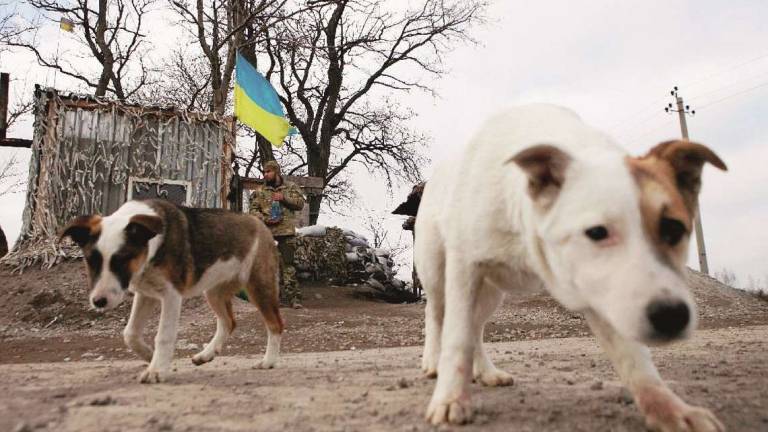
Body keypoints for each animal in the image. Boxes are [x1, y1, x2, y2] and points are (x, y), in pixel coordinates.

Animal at [60, 198, 282, 382]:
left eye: (122, 259)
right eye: (91, 260)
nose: (99, 302)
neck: (152, 250)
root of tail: (260, 224)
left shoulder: (171, 295)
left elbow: (164, 336)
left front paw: (157, 370)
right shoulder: (145, 294)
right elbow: (130, 333)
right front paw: (150, 356)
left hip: (259, 286)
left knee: (275, 324)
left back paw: (268, 362)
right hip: (214, 291)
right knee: (229, 321)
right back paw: (206, 355)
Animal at [416, 103, 728, 430]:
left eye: (674, 229)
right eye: (597, 232)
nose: (672, 316)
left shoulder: (597, 291)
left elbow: (635, 360)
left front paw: (669, 408)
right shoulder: (465, 267)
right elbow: (456, 339)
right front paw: (450, 399)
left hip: (492, 293)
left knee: (475, 328)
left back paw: (486, 372)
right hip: (438, 274)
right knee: (436, 315)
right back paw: (432, 361)